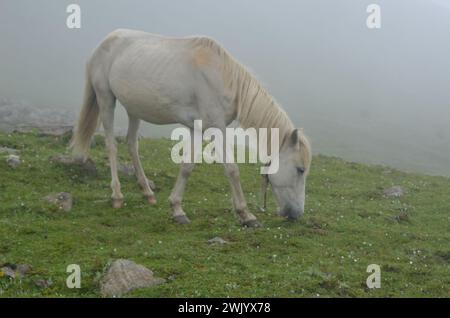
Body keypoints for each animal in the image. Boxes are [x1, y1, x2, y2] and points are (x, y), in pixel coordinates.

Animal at [71, 29, 310, 226]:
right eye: (300, 169)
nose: (297, 214)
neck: (222, 77)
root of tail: (105, 41)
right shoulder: (216, 128)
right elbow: (232, 169)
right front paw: (246, 215)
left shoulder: (198, 128)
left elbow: (187, 166)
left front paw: (177, 209)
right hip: (106, 99)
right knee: (112, 146)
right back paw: (117, 196)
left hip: (134, 109)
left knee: (132, 145)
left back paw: (148, 192)